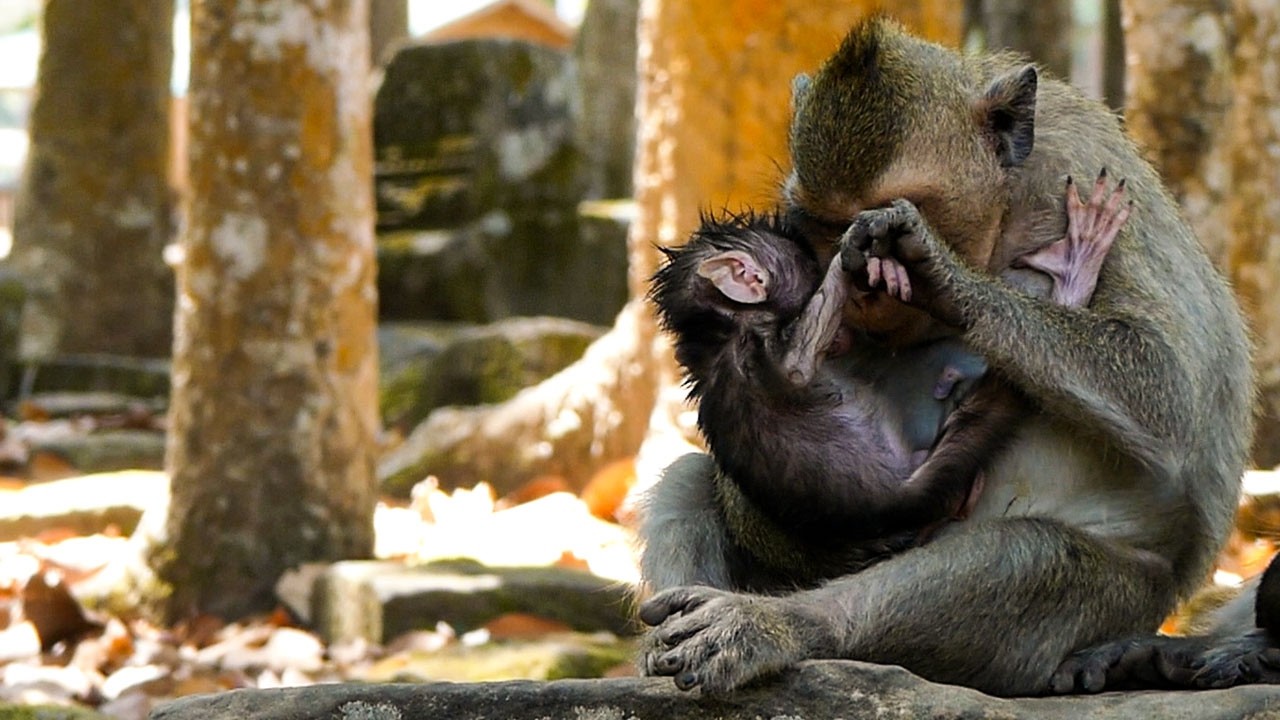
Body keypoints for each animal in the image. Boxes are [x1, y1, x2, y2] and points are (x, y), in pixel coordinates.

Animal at [645, 173, 1128, 593]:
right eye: (810, 270)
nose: (847, 329)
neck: (723, 332)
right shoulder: (758, 353)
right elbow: (799, 365)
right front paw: (857, 251)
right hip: (929, 481)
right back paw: (1074, 275)